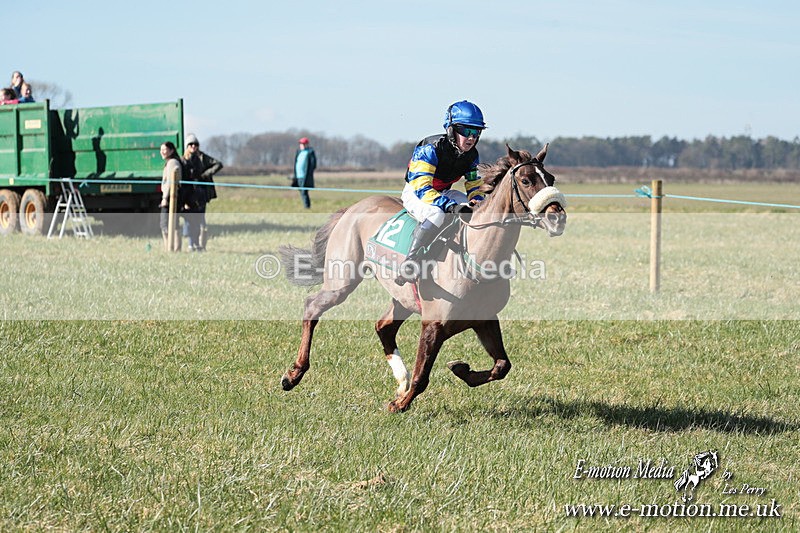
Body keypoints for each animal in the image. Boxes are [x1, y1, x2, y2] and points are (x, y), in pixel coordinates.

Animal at [278, 144, 567, 412]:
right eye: (526, 180)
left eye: (551, 178)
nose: (557, 217)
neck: (475, 257)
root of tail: (355, 206)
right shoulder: (434, 324)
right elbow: (423, 376)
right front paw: (400, 404)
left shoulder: (484, 319)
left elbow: (502, 366)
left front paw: (460, 369)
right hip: (342, 280)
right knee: (312, 307)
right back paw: (293, 374)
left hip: (403, 297)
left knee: (383, 327)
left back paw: (400, 380)